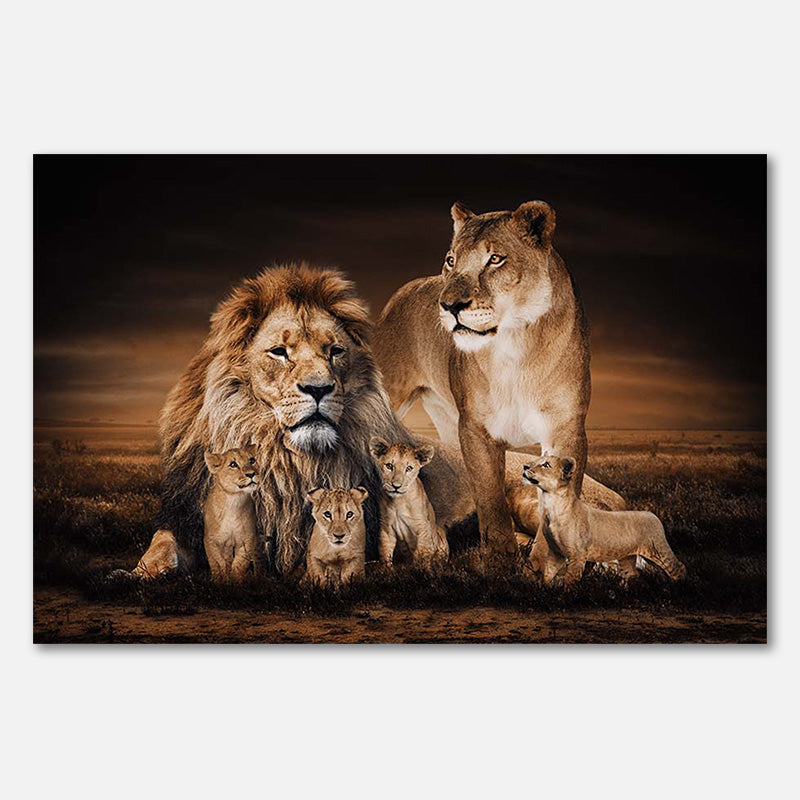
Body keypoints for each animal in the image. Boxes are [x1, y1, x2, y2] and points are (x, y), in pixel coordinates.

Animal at [374, 200, 592, 556]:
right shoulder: (475, 427)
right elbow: (489, 494)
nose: (449, 305)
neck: (515, 345)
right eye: (451, 260)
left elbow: (562, 495)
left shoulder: (567, 427)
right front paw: (501, 554)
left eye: (495, 259)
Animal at [522, 456, 686, 586]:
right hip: (626, 557)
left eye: (546, 464)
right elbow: (547, 574)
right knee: (632, 574)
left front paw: (566, 597)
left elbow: (571, 579)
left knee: (678, 567)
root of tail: (652, 514)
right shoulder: (556, 552)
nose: (524, 466)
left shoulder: (577, 555)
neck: (551, 503)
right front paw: (545, 590)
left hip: (658, 550)